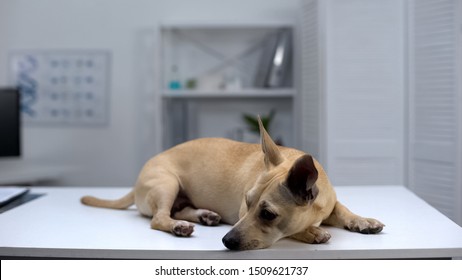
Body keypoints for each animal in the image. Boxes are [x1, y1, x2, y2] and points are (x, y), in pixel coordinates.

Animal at [81, 118, 384, 249]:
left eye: (267, 214)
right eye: (246, 204)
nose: (226, 241)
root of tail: (136, 182)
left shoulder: (331, 204)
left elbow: (344, 211)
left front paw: (362, 221)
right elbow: (295, 230)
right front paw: (311, 233)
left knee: (177, 209)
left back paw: (204, 215)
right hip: (166, 183)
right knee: (159, 217)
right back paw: (179, 226)